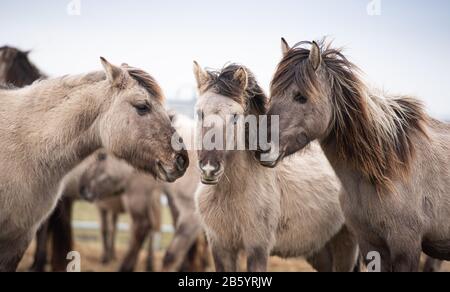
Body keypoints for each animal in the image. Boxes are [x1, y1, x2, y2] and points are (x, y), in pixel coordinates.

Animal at [193, 62, 358, 272]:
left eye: (235, 117)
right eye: (200, 113)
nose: (209, 168)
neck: (231, 192)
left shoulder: (257, 249)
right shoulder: (221, 247)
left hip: (346, 244)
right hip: (320, 250)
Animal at [258, 38, 450, 272]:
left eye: (301, 97)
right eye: (273, 94)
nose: (260, 148)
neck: (385, 170)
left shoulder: (406, 248)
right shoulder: (370, 245)